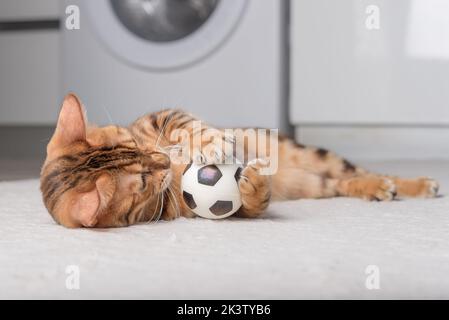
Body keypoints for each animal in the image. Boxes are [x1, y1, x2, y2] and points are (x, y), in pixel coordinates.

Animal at [40, 94, 440, 229]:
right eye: (141, 182)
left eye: (130, 142)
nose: (163, 161)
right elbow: (249, 204)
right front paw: (254, 184)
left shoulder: (162, 116)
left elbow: (187, 125)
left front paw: (213, 142)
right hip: (316, 184)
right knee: (343, 182)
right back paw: (378, 188)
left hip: (307, 152)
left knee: (361, 170)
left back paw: (414, 184)